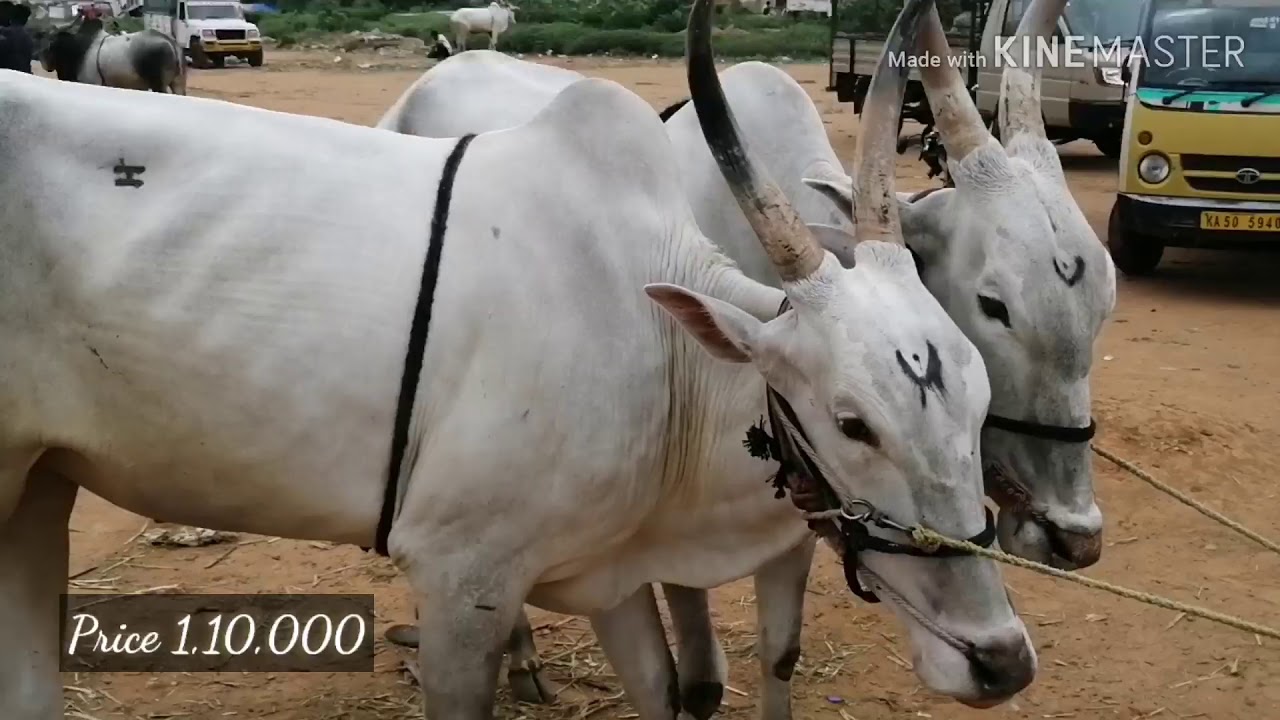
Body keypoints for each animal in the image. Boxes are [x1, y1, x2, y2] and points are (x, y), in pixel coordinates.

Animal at [374, 0, 1106, 716]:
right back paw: (521, 654)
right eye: (994, 305)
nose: (1075, 536)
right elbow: (691, 672)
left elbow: (780, 650)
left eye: (1102, 306)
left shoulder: (801, 503)